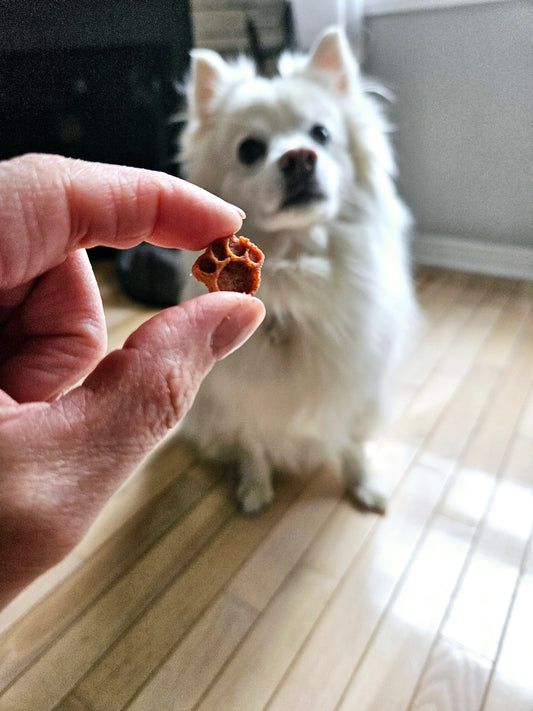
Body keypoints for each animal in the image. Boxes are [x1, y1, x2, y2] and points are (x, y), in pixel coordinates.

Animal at [179, 27, 416, 516]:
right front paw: (255, 489)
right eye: (250, 149)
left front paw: (363, 483)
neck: (298, 268)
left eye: (321, 134)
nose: (300, 157)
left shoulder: (356, 386)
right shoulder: (243, 398)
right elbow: (252, 444)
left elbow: (351, 442)